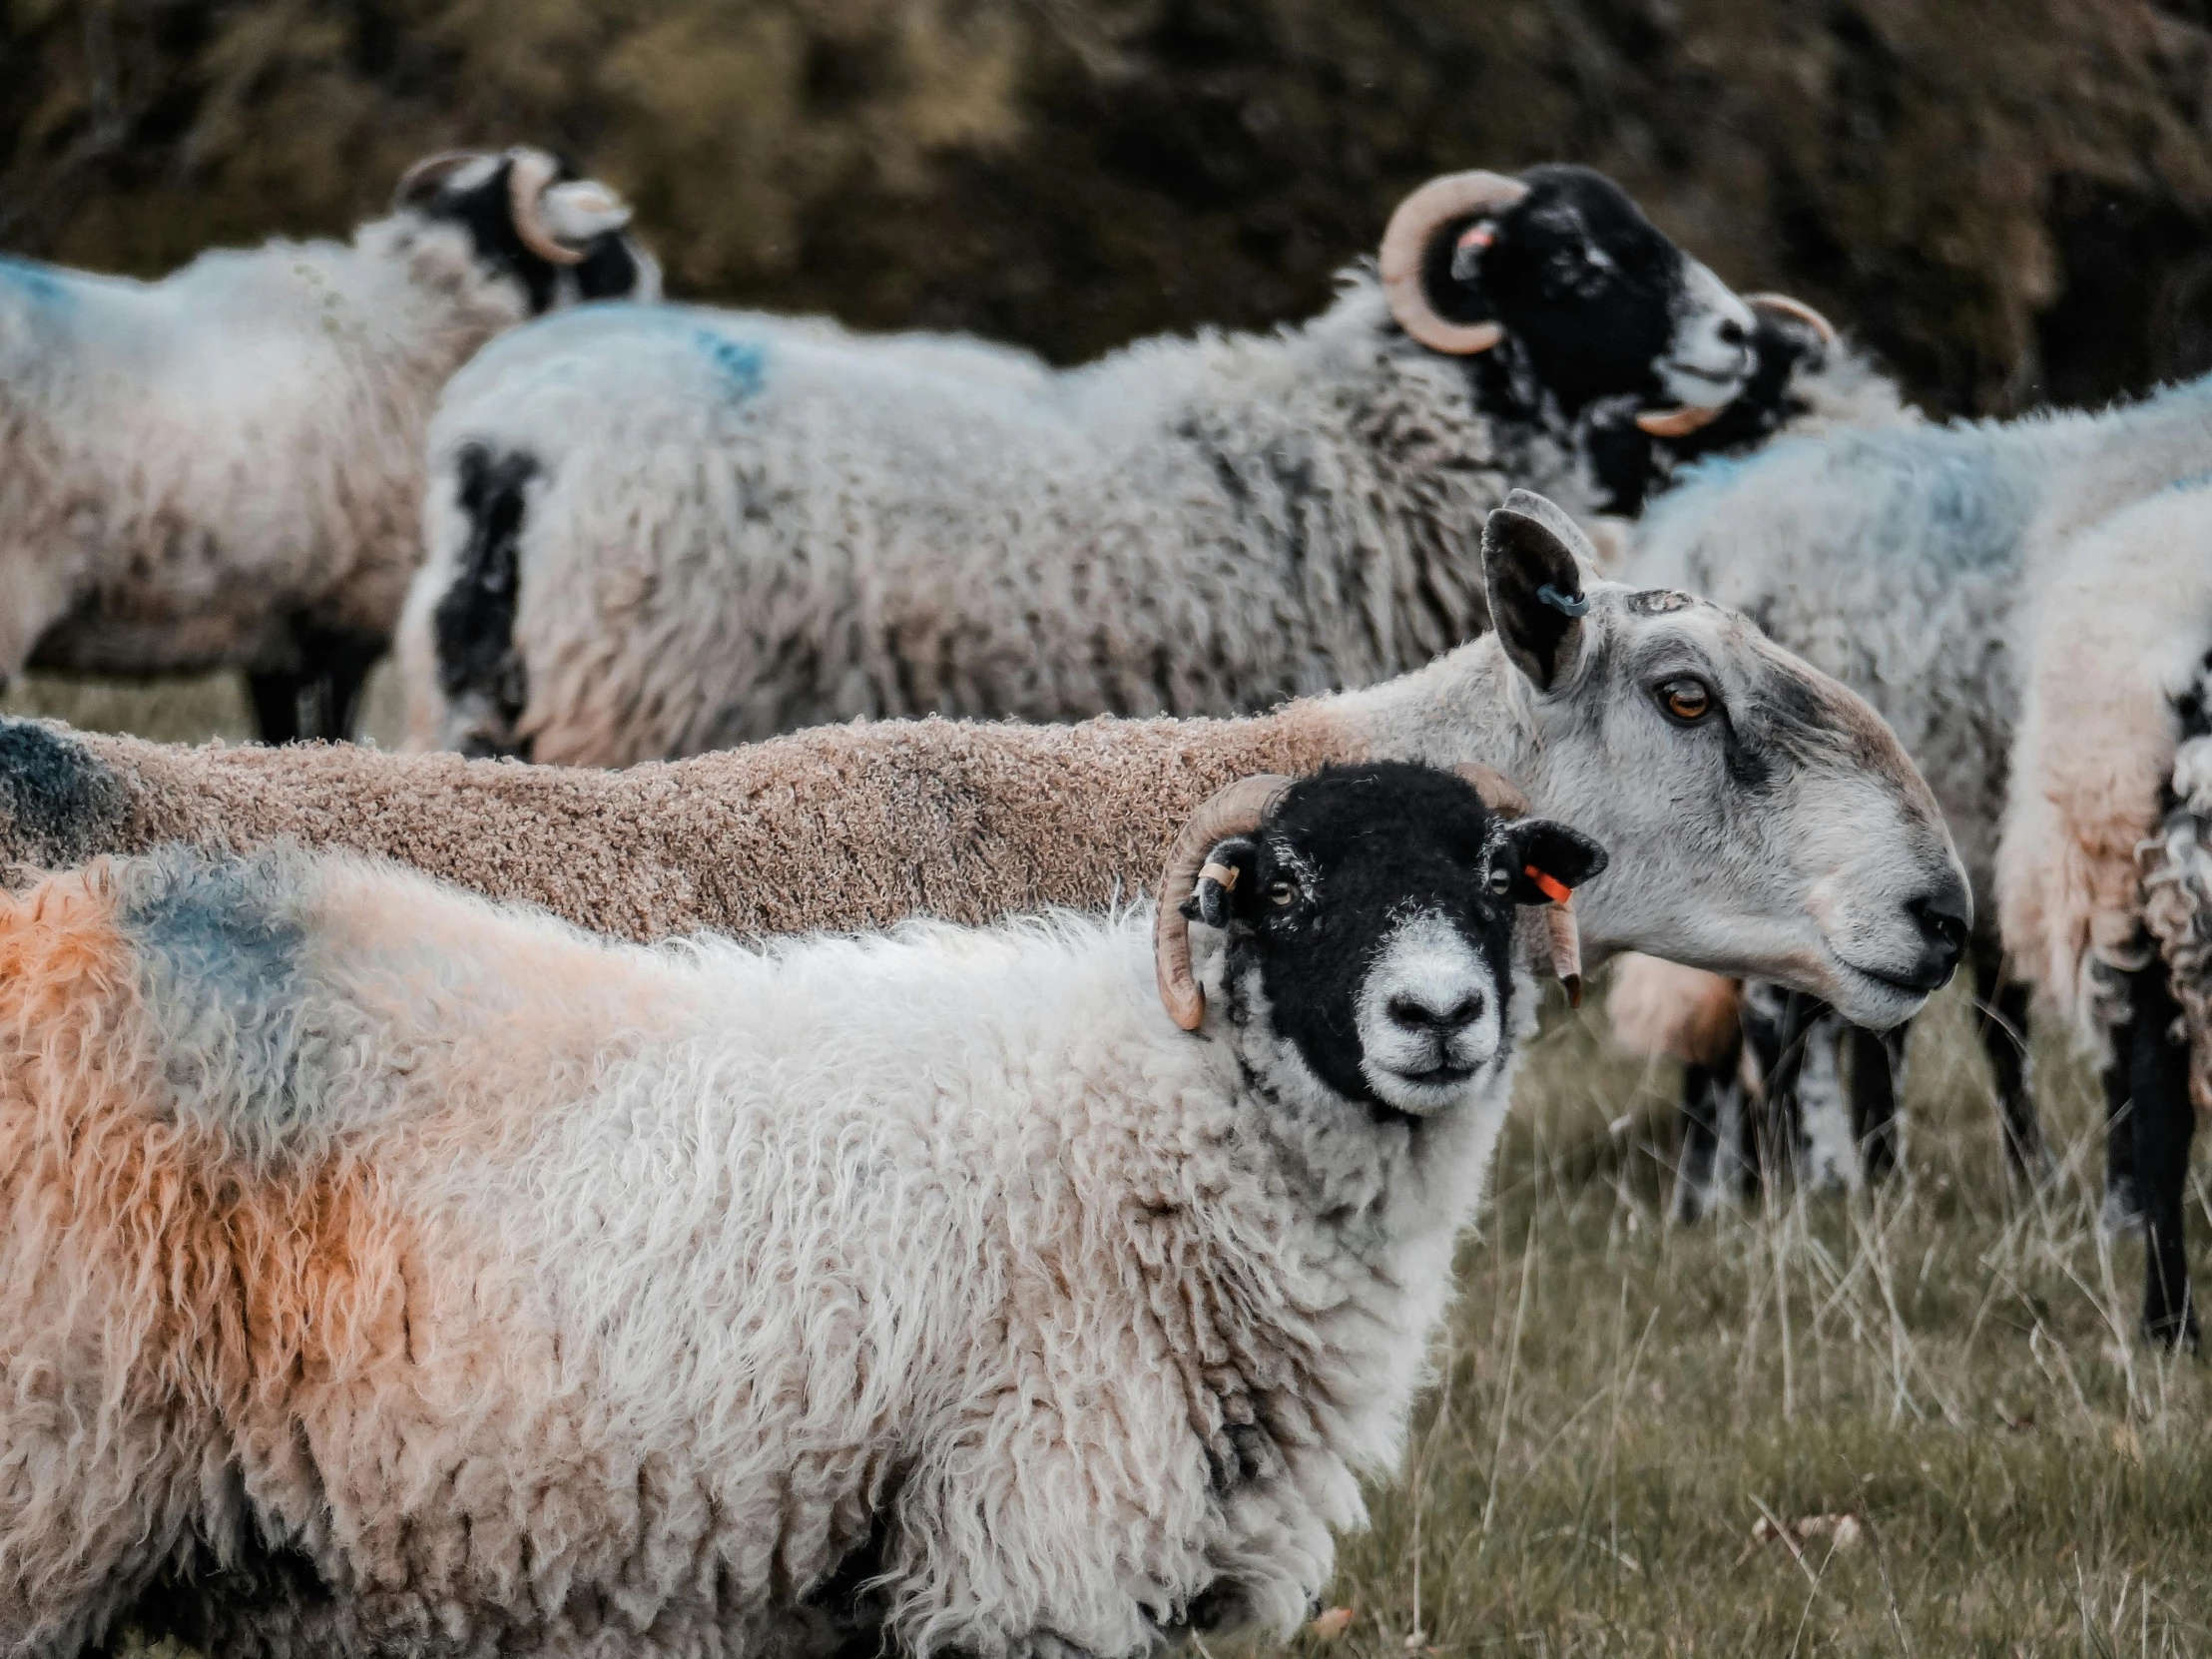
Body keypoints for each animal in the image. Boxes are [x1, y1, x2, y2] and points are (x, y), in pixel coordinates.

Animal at [0, 765, 1610, 1659]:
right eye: (1286, 884)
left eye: (1496, 877)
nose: (1437, 1017)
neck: (1152, 1110)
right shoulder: (1028, 1548)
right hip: (52, 1483)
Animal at [384, 162, 1796, 761]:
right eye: (1575, 261)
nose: (1737, 337)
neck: (1349, 443)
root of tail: (509, 441)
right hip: (634, 702)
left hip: (474, 694)